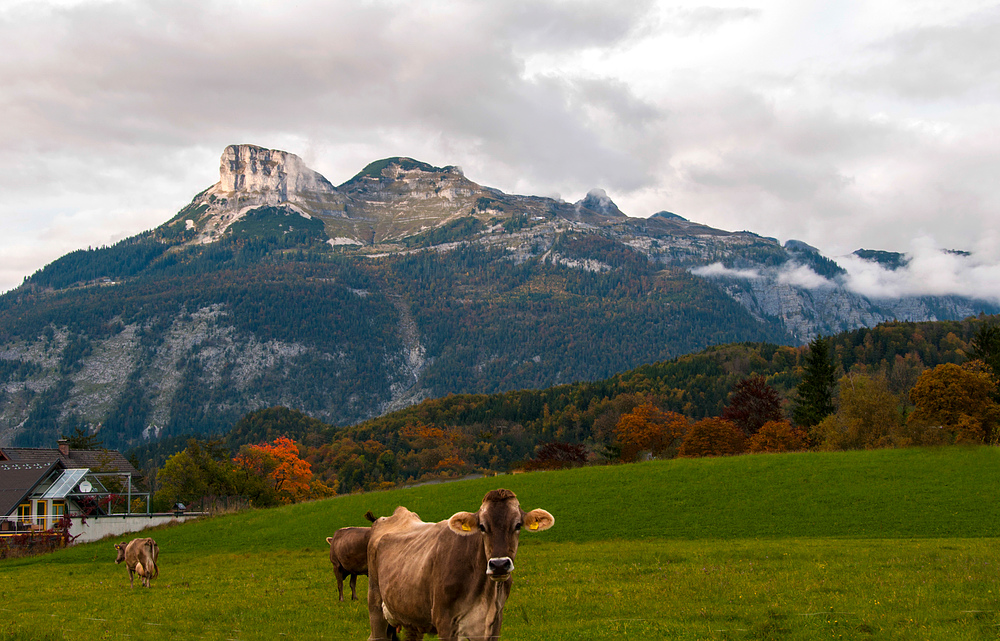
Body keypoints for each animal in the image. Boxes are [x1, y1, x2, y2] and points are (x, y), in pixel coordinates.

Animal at [368, 488, 556, 636]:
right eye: (482, 526)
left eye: (517, 525)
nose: (499, 565)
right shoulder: (444, 620)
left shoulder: (494, 622)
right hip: (375, 605)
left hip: (412, 618)